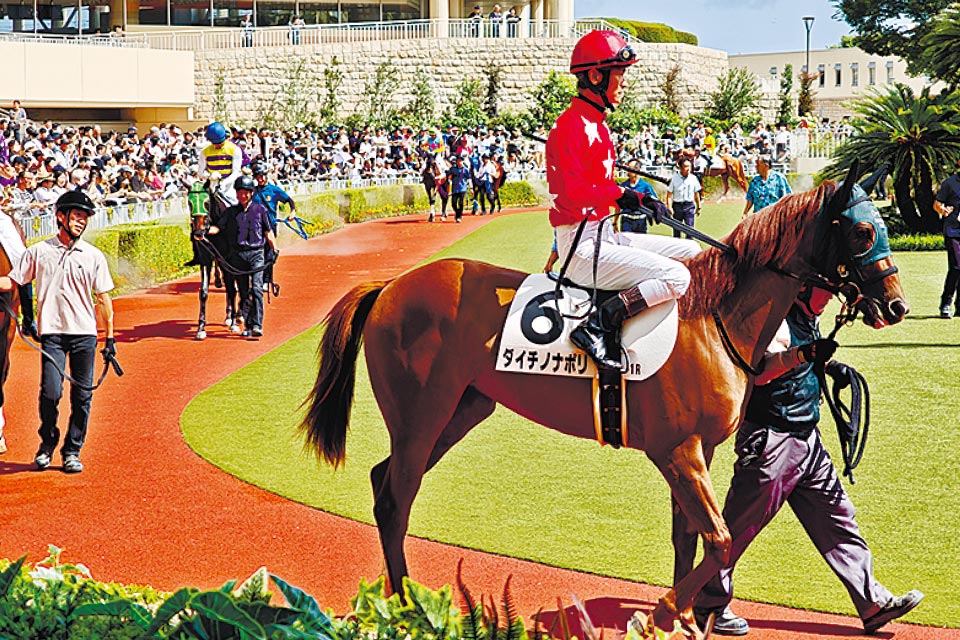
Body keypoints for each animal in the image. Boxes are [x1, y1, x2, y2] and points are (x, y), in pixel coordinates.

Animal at [189, 184, 239, 340]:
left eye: (206, 203)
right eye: (189, 203)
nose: (198, 233)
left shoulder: (229, 259)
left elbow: (233, 289)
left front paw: (234, 323)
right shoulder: (206, 260)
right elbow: (204, 292)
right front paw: (201, 328)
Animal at [300, 163, 908, 636]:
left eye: (883, 224)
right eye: (860, 231)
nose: (896, 305)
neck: (715, 318)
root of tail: (389, 286)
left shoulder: (698, 451)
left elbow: (689, 536)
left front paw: (681, 620)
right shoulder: (677, 452)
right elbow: (719, 538)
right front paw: (660, 612)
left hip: (462, 410)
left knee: (384, 480)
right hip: (420, 415)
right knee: (395, 499)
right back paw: (406, 608)